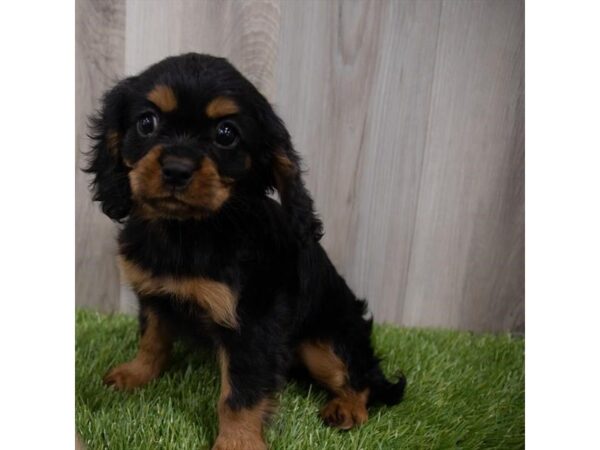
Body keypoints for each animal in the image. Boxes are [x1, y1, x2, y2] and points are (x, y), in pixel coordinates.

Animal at [84, 53, 406, 450]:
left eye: (226, 134)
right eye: (147, 122)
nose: (176, 169)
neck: (190, 229)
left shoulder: (253, 325)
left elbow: (240, 394)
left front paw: (237, 442)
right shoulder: (155, 297)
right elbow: (152, 340)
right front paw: (136, 374)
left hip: (327, 341)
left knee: (362, 377)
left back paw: (347, 407)